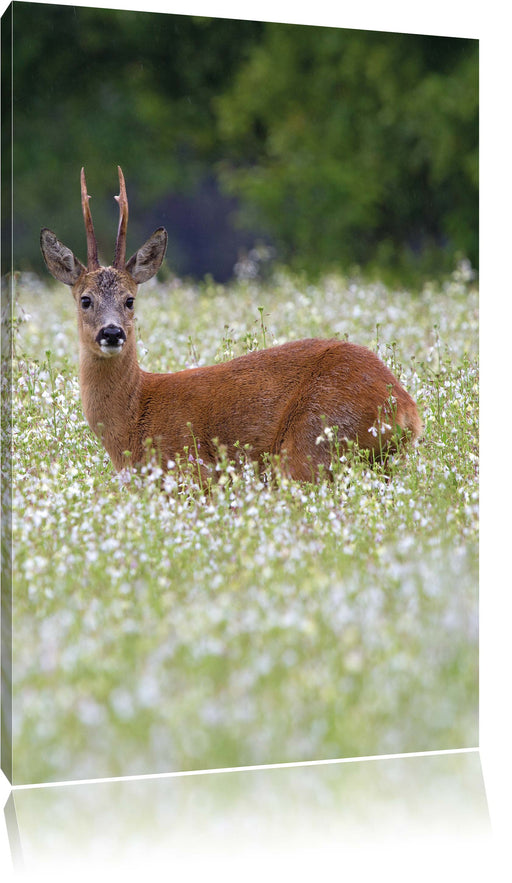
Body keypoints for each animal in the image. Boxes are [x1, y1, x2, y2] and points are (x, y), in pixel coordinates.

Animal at [42, 166, 422, 484]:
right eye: (85, 299)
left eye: (130, 300)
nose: (112, 332)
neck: (135, 416)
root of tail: (407, 409)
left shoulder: (192, 471)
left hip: (313, 442)